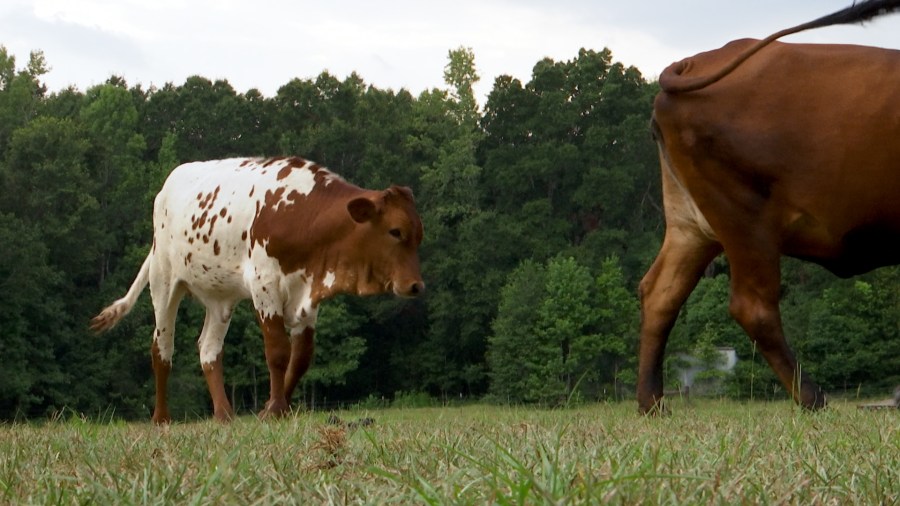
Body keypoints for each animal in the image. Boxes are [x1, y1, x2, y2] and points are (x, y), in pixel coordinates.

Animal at [91, 157, 425, 423]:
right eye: (395, 231)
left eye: (418, 234)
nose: (416, 286)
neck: (301, 215)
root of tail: (168, 185)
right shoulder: (265, 285)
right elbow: (277, 352)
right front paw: (276, 408)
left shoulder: (307, 296)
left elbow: (301, 357)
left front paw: (273, 408)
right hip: (164, 281)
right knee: (162, 349)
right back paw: (162, 418)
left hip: (219, 299)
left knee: (209, 350)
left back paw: (224, 415)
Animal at [638, 0, 900, 414]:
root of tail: (695, 61)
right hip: (745, 221)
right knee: (754, 308)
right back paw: (812, 397)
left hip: (692, 224)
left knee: (661, 292)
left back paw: (651, 403)